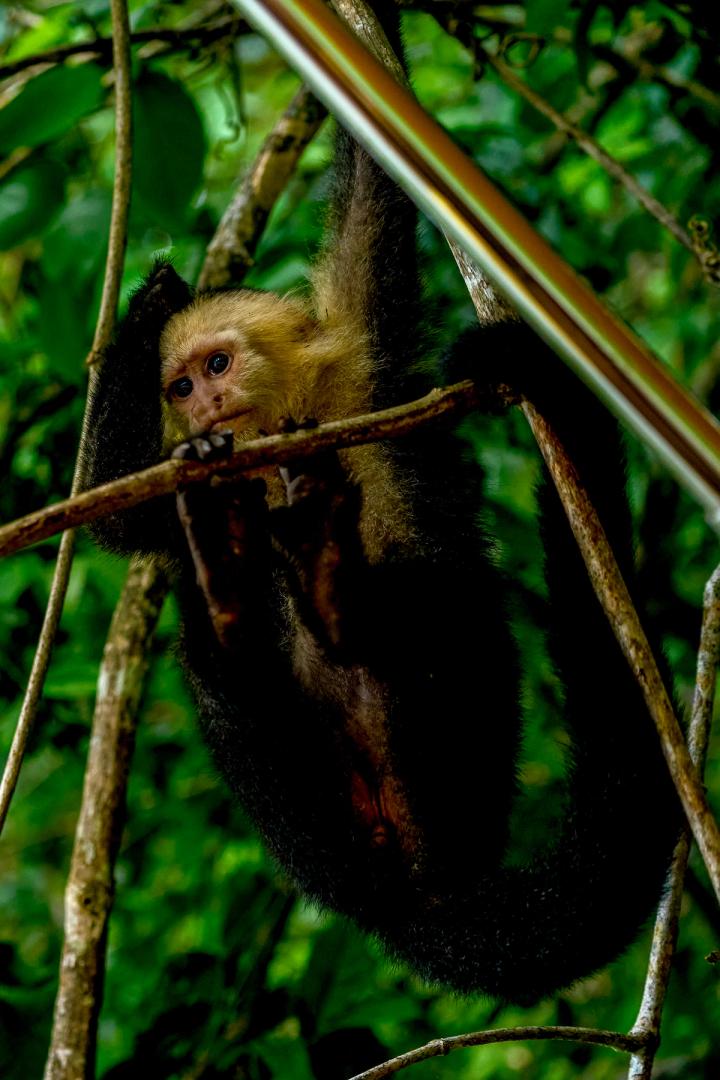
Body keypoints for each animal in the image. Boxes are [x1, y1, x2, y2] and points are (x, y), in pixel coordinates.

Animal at [82, 6, 680, 1004]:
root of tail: (424, 894)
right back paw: (236, 595)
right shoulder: (182, 472)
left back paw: (329, 587)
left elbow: (374, 199)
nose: (202, 405)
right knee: (214, 661)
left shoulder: (362, 361)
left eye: (218, 363)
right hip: (311, 832)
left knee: (428, 601)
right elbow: (109, 511)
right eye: (179, 383)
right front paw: (147, 305)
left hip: (451, 757)